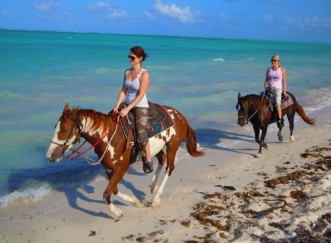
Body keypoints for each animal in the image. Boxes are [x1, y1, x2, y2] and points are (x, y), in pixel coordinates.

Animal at [45, 102, 204, 218]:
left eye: (64, 130)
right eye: (55, 127)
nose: (50, 156)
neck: (109, 136)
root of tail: (181, 117)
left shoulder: (122, 167)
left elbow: (106, 193)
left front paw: (116, 212)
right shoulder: (109, 168)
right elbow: (113, 189)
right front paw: (135, 201)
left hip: (173, 145)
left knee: (170, 167)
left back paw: (156, 199)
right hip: (156, 148)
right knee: (161, 160)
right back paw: (153, 187)